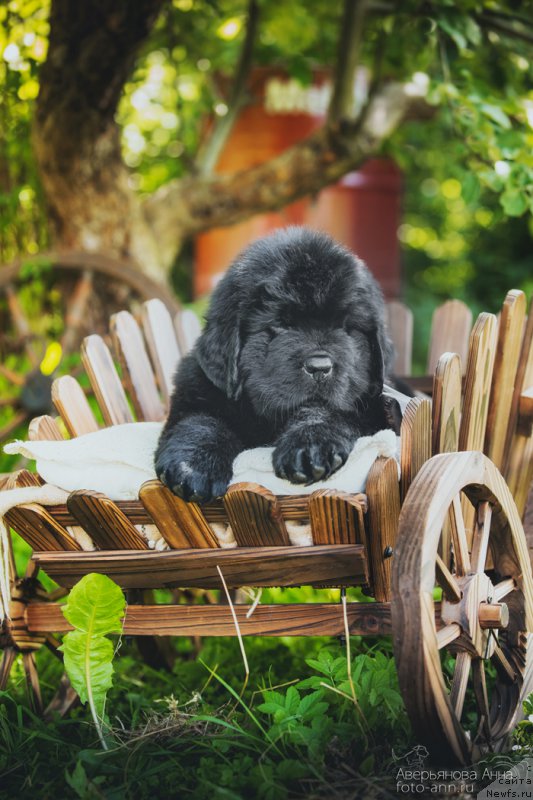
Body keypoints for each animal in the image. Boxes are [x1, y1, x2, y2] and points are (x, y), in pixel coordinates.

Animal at [156, 225, 396, 504]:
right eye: (281, 324)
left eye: (346, 326)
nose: (320, 366)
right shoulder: (195, 393)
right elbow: (202, 423)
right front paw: (193, 467)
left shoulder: (362, 406)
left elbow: (324, 411)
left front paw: (308, 448)